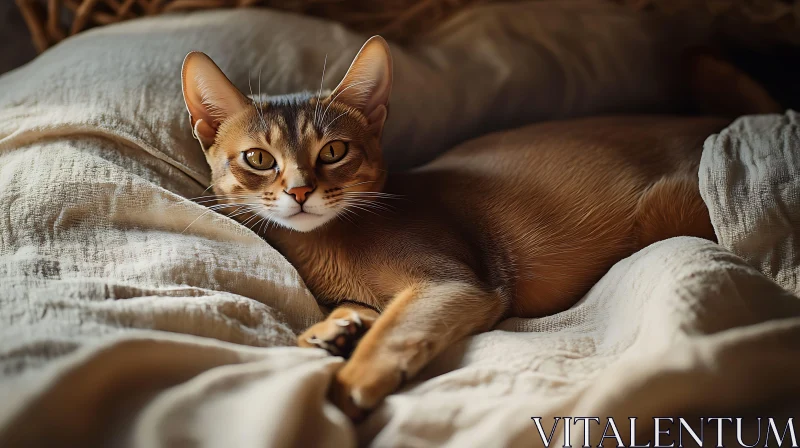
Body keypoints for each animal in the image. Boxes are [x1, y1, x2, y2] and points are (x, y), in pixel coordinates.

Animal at [181, 36, 780, 420]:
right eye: (258, 159)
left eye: (333, 152)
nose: (300, 192)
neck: (330, 241)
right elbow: (367, 311)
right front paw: (333, 329)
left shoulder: (455, 284)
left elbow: (394, 331)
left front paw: (347, 390)